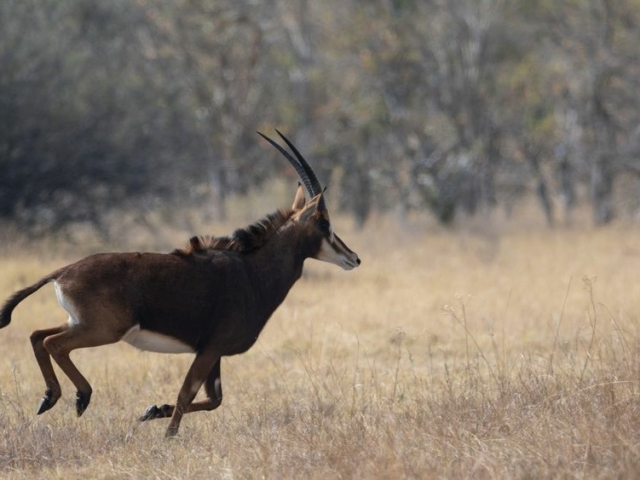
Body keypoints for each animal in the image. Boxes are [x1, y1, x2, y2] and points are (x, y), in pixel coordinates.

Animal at [0, 131, 360, 437]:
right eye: (324, 222)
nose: (353, 258)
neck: (252, 272)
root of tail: (63, 271)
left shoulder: (212, 351)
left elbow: (213, 400)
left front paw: (152, 410)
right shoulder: (211, 349)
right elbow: (187, 394)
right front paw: (168, 437)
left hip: (80, 323)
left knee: (37, 335)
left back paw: (49, 397)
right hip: (103, 330)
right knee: (53, 343)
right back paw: (81, 396)